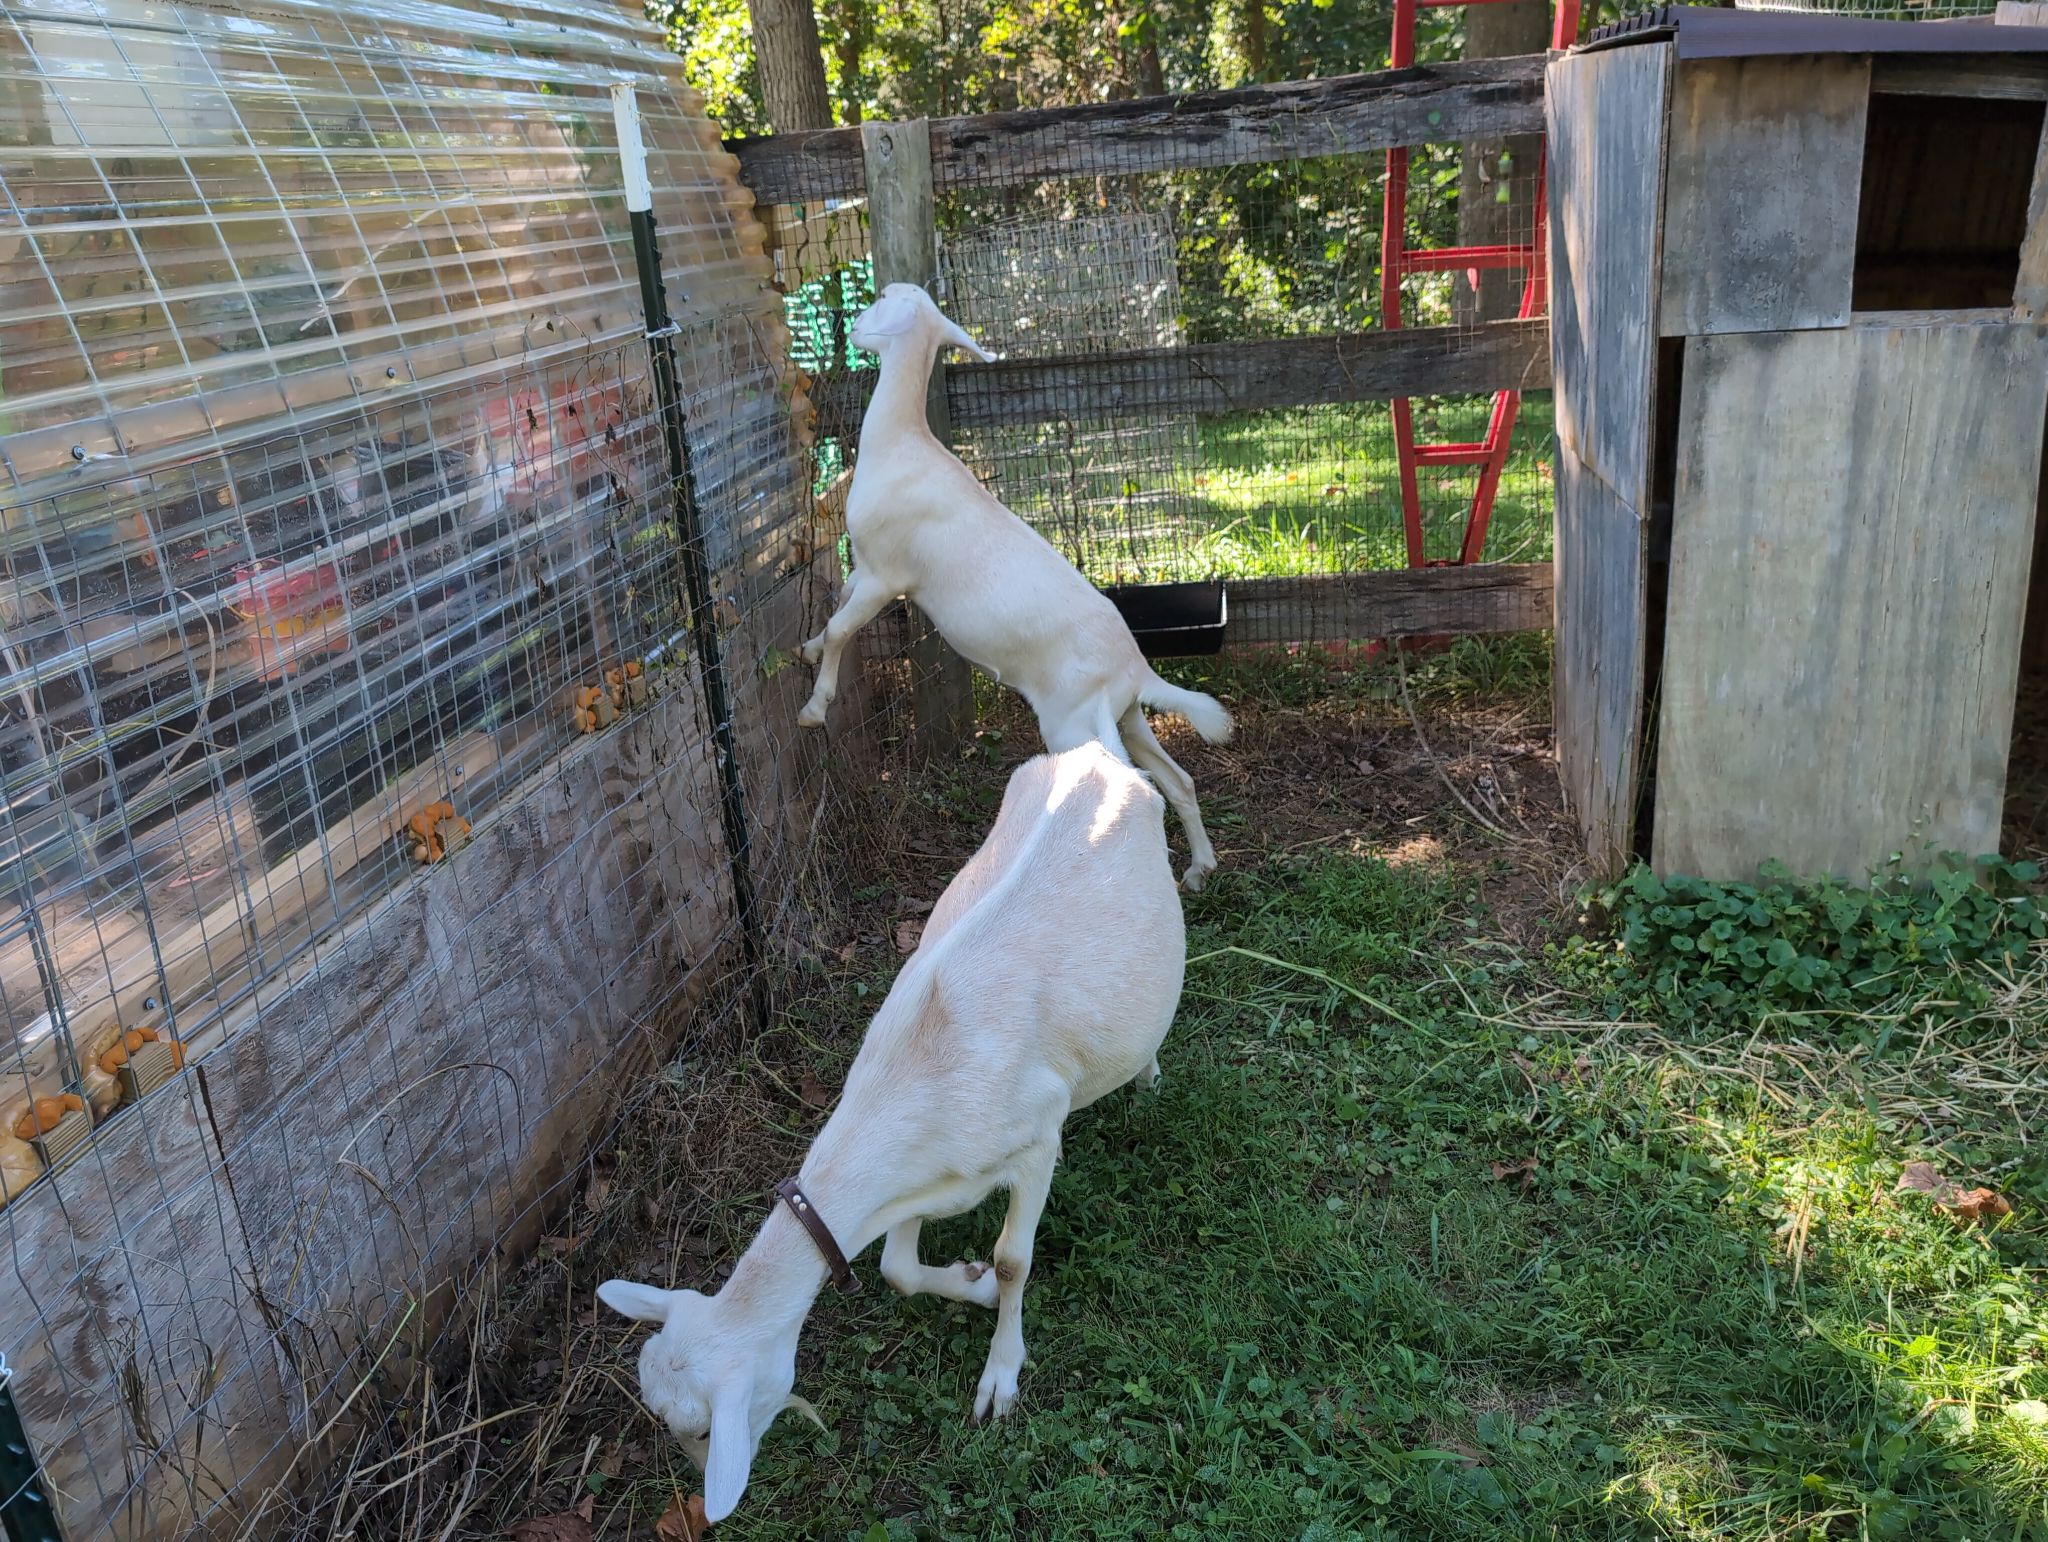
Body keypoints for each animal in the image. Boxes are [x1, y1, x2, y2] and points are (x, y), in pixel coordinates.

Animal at [598, 741, 1186, 1522]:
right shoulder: (923, 1178)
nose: (699, 1498)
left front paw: (1001, 1373)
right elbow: (897, 1270)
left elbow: (1014, 1260)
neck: (917, 1070)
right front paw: (969, 1285)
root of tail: (1093, 752)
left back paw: (1147, 1074)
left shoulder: (1038, 1137)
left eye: (698, 1427)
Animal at [796, 282, 1233, 890]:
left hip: (1073, 722)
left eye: (882, 297)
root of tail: (1134, 667)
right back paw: (1198, 868)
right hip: (1122, 715)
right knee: (1179, 779)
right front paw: (807, 648)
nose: (855, 330)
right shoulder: (864, 565)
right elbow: (835, 608)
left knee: (1132, 783)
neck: (905, 443)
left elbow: (842, 627)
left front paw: (814, 708)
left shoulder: (888, 576)